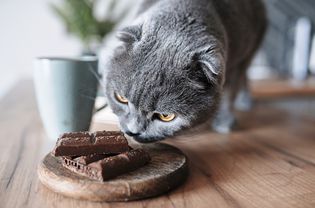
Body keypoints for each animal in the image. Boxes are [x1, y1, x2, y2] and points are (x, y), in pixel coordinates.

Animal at [103, 0, 266, 142]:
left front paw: (224, 121)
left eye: (166, 116)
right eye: (121, 98)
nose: (132, 131)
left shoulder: (238, 60)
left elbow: (230, 91)